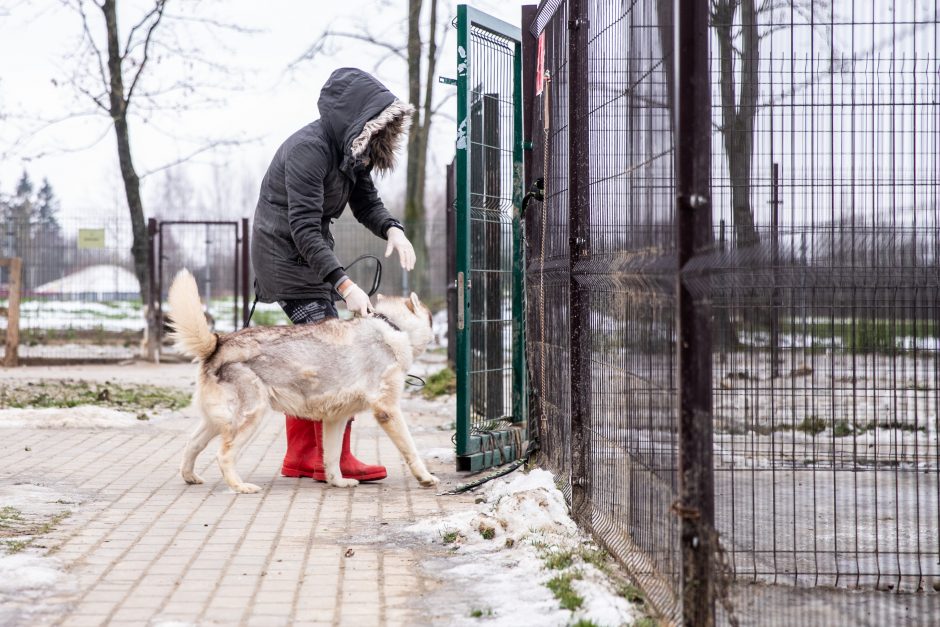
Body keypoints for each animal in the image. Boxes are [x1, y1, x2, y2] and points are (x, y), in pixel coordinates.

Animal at [169, 272, 440, 494]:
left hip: (216, 422)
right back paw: (241, 487)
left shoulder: (336, 419)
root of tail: (219, 343)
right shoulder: (387, 410)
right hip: (251, 417)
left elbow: (332, 457)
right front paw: (425, 477)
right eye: (430, 317)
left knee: (192, 444)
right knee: (223, 455)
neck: (391, 326)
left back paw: (190, 477)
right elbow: (411, 449)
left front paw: (337, 482)